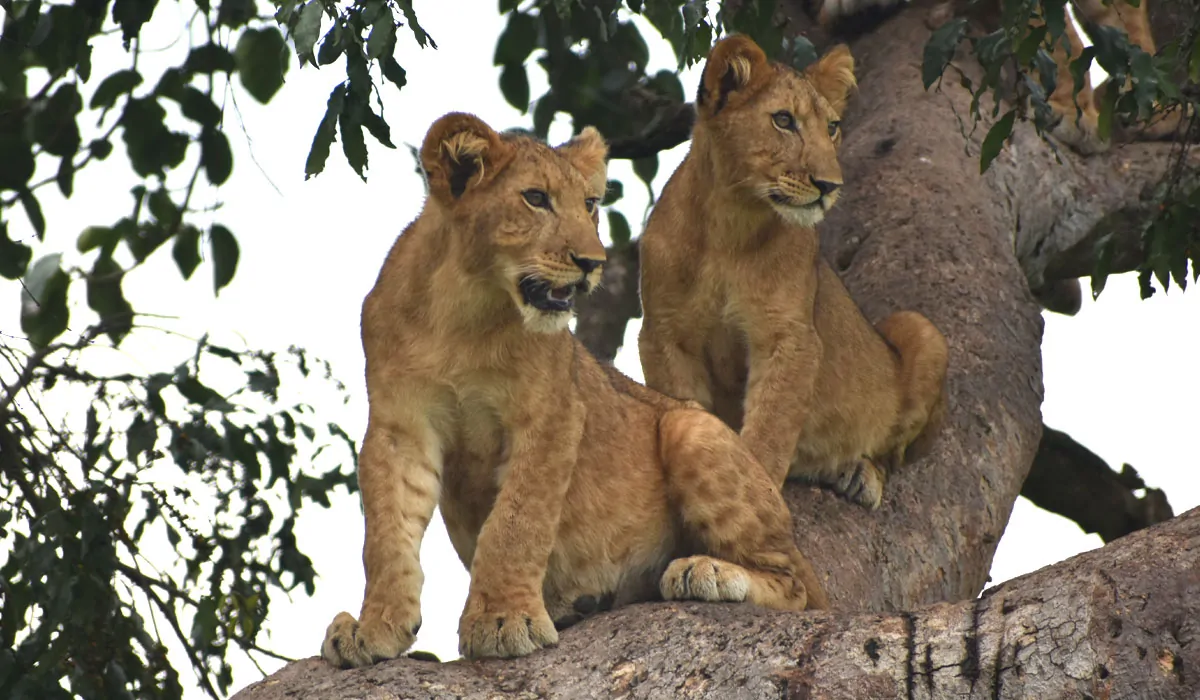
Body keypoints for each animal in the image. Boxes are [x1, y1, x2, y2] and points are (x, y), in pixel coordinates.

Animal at [320, 112, 828, 667]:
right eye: (535, 198)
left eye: (589, 204)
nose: (592, 262)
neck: (463, 307)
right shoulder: (399, 427)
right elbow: (387, 535)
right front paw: (374, 629)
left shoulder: (553, 414)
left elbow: (517, 521)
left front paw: (504, 620)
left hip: (690, 427)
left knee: (800, 586)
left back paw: (708, 571)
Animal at [637, 36, 949, 511]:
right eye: (783, 120)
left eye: (833, 127)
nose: (830, 186)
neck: (728, 224)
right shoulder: (665, 335)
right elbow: (683, 406)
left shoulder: (790, 337)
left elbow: (770, 429)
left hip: (921, 331)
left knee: (892, 455)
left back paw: (858, 474)